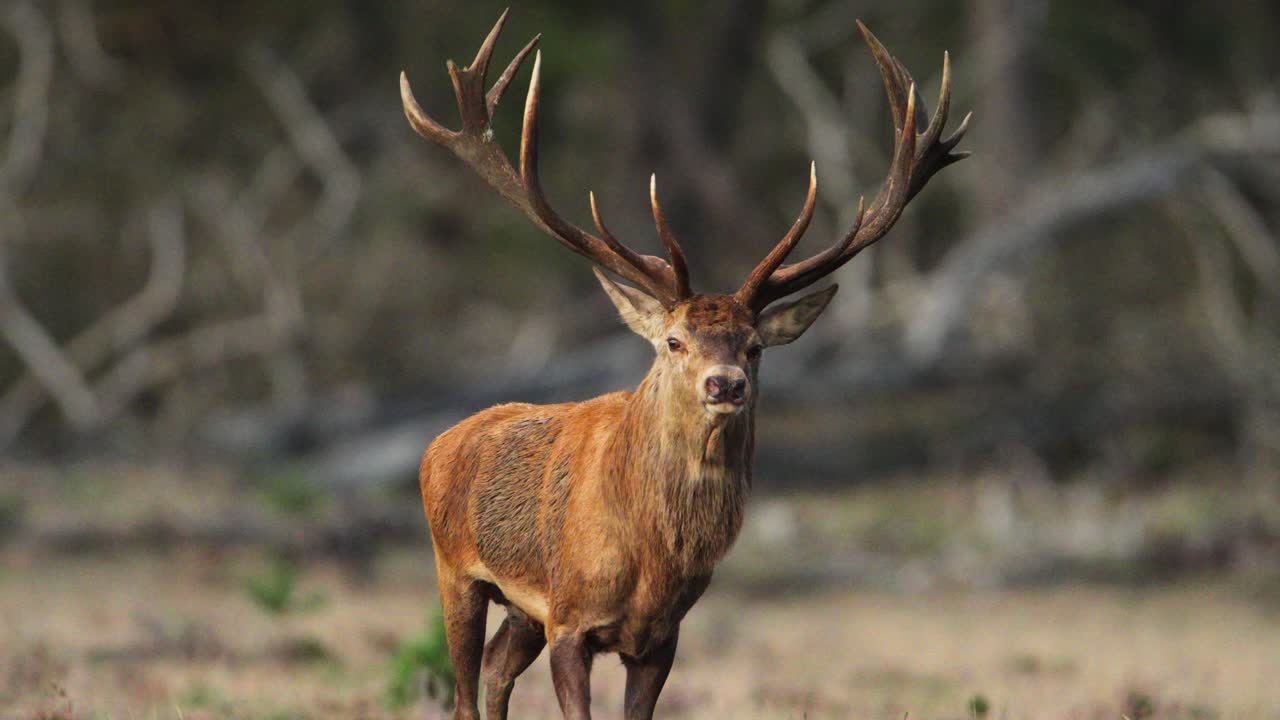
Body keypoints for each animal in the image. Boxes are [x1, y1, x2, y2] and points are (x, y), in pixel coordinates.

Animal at [401, 9, 968, 720]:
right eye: (674, 342)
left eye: (754, 346)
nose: (725, 383)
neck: (651, 563)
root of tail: (439, 444)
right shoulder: (570, 620)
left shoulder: (660, 640)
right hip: (454, 568)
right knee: (464, 693)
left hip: (522, 612)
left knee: (498, 671)